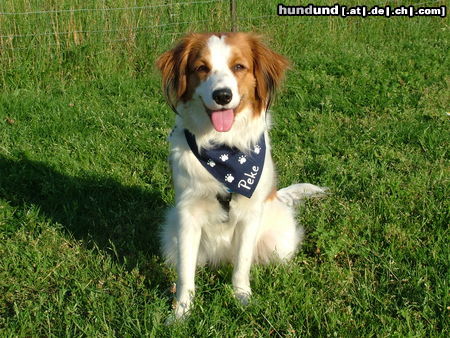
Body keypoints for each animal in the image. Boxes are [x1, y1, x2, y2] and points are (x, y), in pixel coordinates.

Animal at [156, 32, 326, 320]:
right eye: (201, 68)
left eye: (239, 66)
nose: (223, 96)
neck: (224, 148)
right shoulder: (188, 216)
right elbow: (185, 274)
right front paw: (181, 313)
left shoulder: (249, 215)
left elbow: (242, 264)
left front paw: (242, 298)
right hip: (171, 235)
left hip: (280, 243)